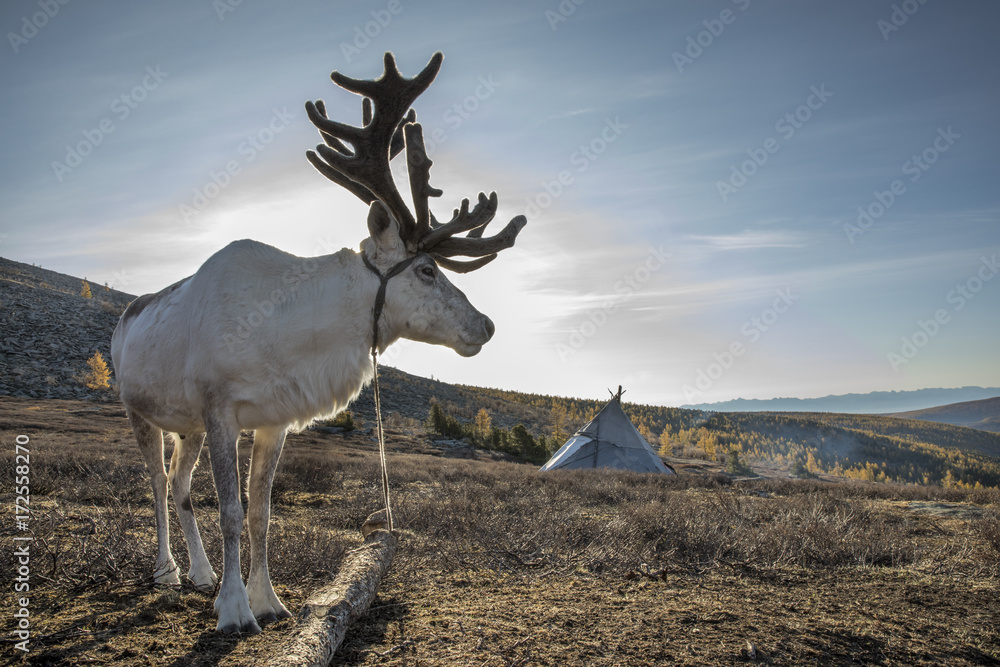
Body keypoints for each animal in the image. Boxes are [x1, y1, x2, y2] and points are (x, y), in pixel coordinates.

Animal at [110, 51, 526, 634]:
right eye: (426, 270)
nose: (486, 325)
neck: (292, 330)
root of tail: (127, 314)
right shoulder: (220, 410)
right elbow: (231, 511)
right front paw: (234, 610)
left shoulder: (273, 419)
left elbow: (261, 512)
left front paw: (267, 600)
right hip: (138, 409)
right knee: (156, 483)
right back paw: (168, 571)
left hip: (185, 425)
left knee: (181, 486)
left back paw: (200, 572)